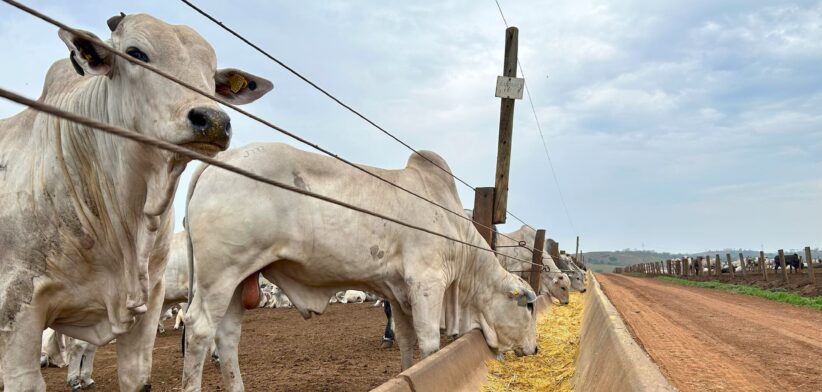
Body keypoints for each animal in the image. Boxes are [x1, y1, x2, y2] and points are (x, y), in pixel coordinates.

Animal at [0, 12, 274, 392]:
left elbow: (135, 376)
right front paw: (77, 378)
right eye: (136, 53)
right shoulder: (18, 311)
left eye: (211, 74)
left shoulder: (148, 307)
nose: (214, 120)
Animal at [181, 144, 540, 392]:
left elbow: (406, 341)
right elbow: (429, 343)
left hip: (238, 280)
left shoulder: (398, 293)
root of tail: (219, 160)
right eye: (529, 306)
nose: (535, 348)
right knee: (199, 330)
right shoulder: (426, 282)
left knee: (227, 336)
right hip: (220, 274)